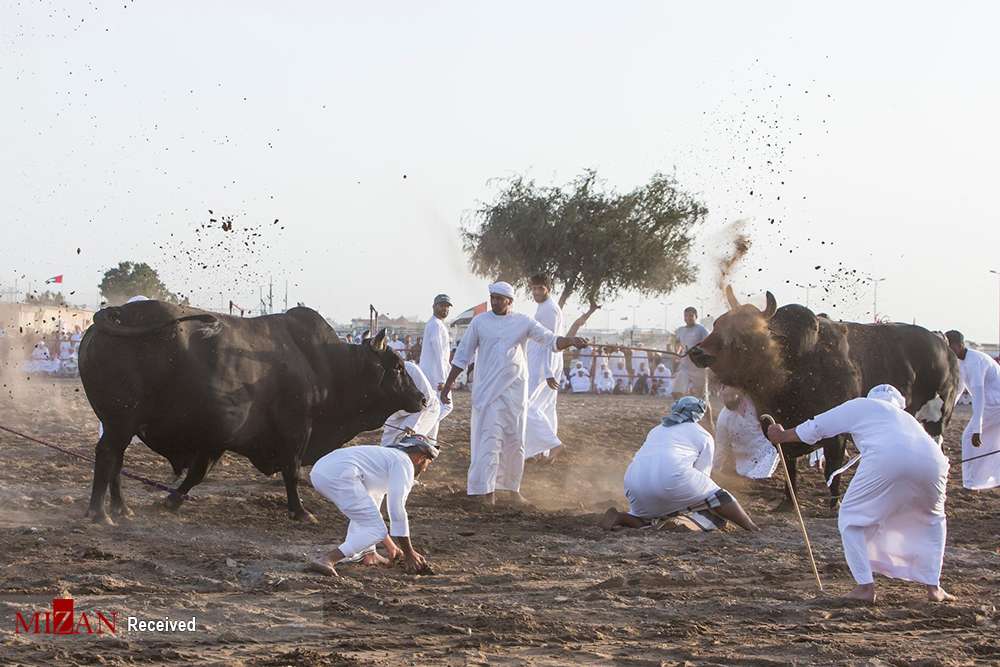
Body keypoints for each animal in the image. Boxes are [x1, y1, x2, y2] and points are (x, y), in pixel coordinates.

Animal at [78, 302, 422, 528]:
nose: (421, 397)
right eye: (397, 366)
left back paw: (121, 509)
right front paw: (300, 511)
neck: (324, 364)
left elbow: (197, 473)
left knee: (116, 459)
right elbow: (291, 472)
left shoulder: (216, 438)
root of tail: (117, 313)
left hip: (121, 424)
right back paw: (99, 512)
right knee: (107, 455)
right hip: (120, 421)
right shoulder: (296, 429)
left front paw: (172, 499)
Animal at [688, 288, 960, 512]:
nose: (697, 352)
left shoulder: (836, 432)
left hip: (937, 419)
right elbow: (790, 467)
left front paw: (834, 504)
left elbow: (832, 466)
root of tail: (942, 345)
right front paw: (788, 503)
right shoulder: (779, 426)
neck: (795, 363)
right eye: (718, 323)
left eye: (743, 331)